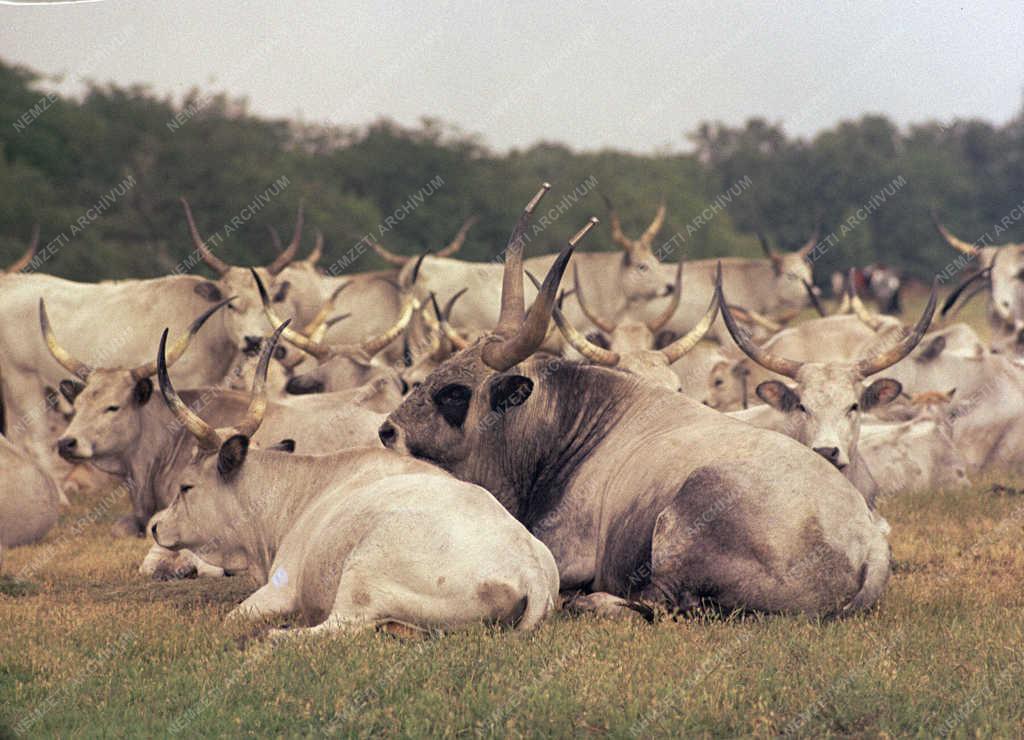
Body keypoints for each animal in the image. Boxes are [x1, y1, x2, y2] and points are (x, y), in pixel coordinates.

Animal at [380, 186, 892, 618]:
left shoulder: (564, 555)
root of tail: (867, 544)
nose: (387, 430)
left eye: (453, 392)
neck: (571, 426)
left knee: (659, 603)